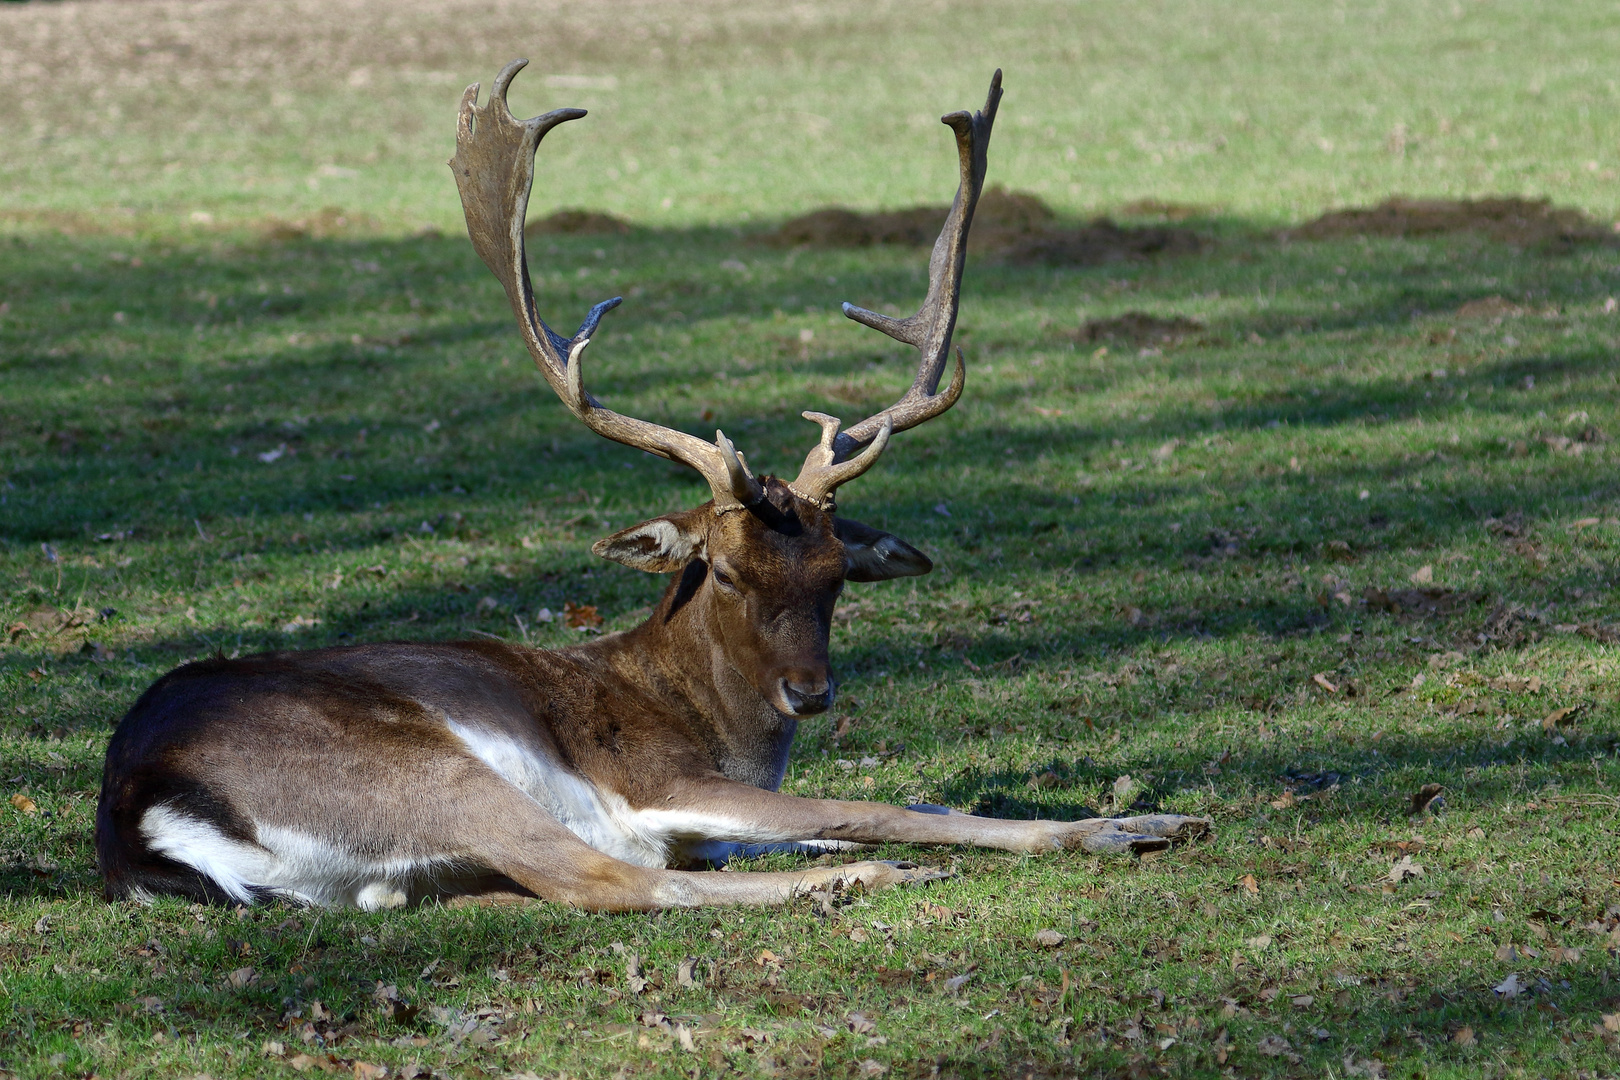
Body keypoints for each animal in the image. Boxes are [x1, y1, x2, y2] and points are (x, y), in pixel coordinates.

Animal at [88, 65, 1205, 913]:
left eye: (839, 572)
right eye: (726, 569)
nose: (812, 692)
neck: (715, 726)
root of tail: (139, 820)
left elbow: (909, 802)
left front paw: (1152, 818)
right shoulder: (656, 785)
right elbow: (877, 804)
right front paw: (1104, 831)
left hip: (395, 871)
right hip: (422, 772)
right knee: (613, 882)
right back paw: (869, 879)